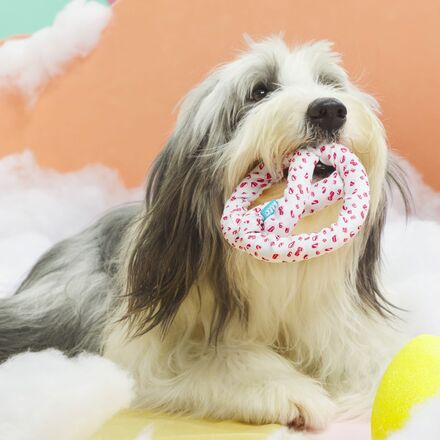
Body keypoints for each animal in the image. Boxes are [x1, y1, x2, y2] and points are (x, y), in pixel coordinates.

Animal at [0, 37, 410, 430]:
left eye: (329, 83)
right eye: (260, 90)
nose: (329, 109)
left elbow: (368, 356)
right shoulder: (156, 343)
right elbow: (222, 355)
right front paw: (285, 390)